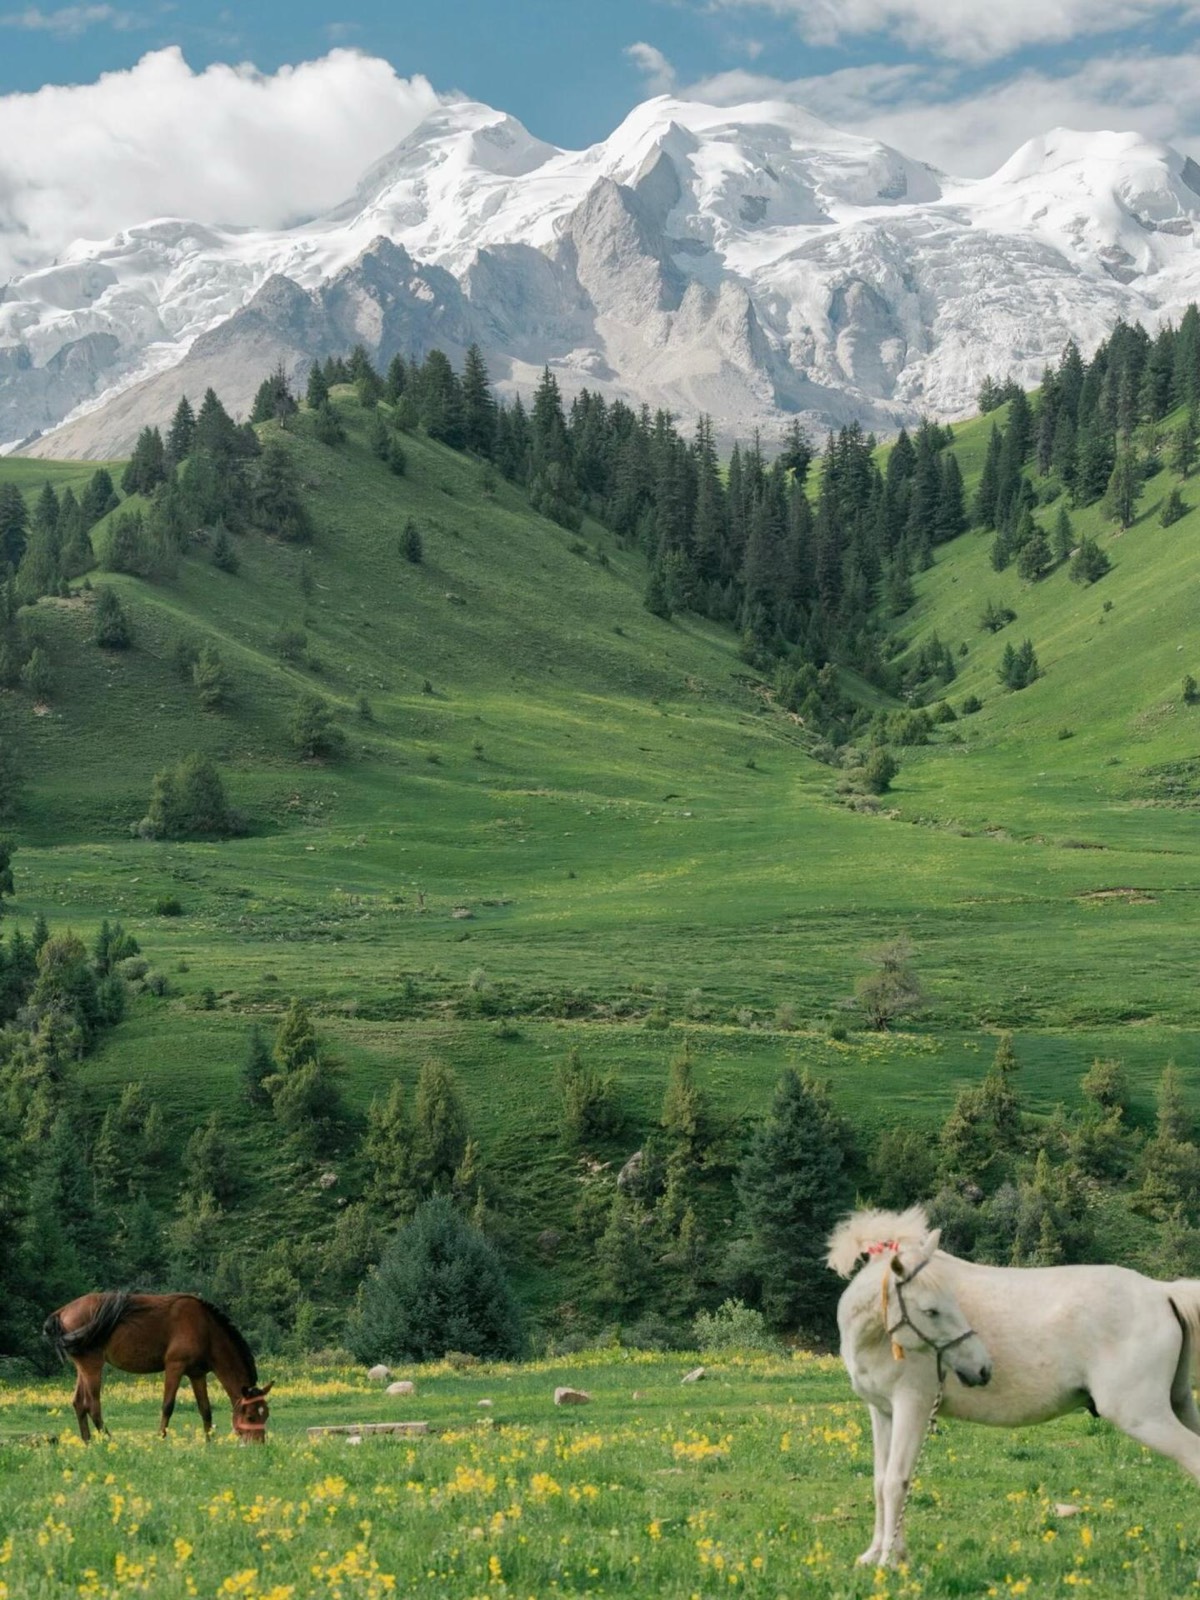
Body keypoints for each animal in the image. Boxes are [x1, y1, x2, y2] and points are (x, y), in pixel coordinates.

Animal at [44, 1291, 272, 1443]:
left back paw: (88, 1442)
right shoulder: (174, 1367)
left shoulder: (197, 1374)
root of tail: (62, 1312)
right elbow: (167, 1406)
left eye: (266, 1415)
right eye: (251, 1416)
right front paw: (161, 1439)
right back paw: (109, 1440)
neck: (205, 1328)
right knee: (92, 1405)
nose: (258, 1444)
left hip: (83, 1368)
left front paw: (210, 1443)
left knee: (78, 1403)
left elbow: (205, 1409)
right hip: (92, 1366)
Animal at [828, 1204, 1200, 1568]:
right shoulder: (883, 1412)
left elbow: (897, 1481)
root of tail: (1162, 1291)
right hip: (1178, 1404)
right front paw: (875, 1554)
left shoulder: (912, 1406)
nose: (982, 1367)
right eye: (931, 1310)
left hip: (1143, 1417)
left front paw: (891, 1560)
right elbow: (880, 1480)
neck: (877, 1337)